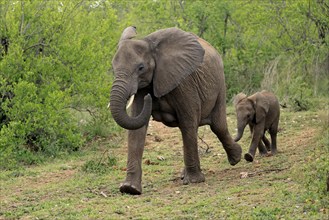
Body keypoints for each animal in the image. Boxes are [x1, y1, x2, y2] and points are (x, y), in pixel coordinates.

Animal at [110, 27, 241, 194]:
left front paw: (194, 181)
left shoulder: (184, 83)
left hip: (220, 84)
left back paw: (236, 158)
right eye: (113, 68)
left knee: (217, 126)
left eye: (141, 68)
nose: (149, 98)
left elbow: (188, 121)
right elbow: (137, 129)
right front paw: (130, 189)